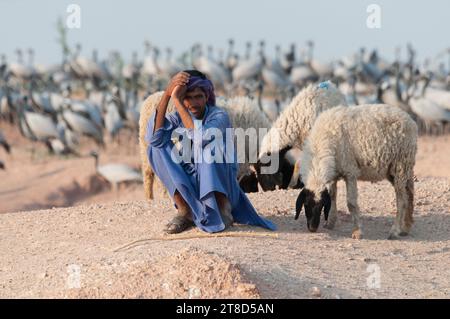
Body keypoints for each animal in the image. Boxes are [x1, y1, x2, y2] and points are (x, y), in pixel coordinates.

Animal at [296, 104, 418, 240]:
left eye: (321, 205)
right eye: (306, 204)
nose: (312, 228)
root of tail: (409, 119)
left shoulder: (350, 172)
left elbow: (351, 203)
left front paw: (357, 231)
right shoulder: (334, 173)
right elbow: (333, 196)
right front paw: (330, 223)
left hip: (401, 164)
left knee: (402, 200)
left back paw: (395, 231)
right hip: (398, 169)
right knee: (410, 194)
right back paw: (406, 228)